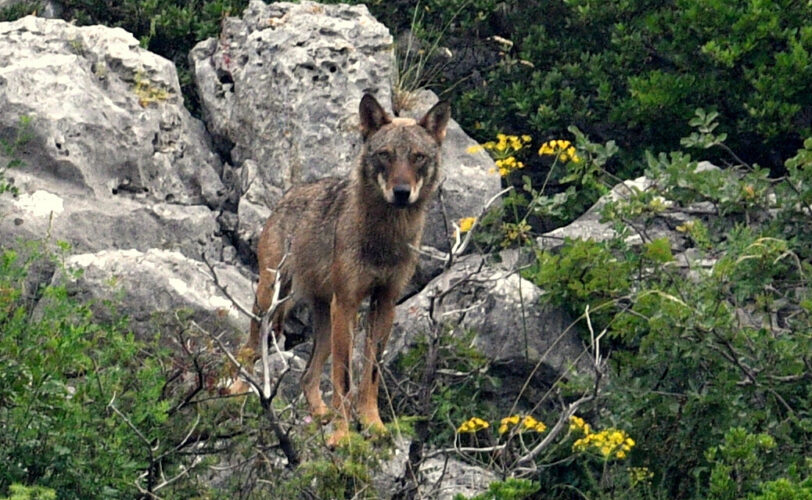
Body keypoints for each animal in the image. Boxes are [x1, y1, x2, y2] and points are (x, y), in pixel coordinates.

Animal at [244, 93, 450, 445]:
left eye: (418, 157)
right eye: (385, 155)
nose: (401, 193)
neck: (384, 238)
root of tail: (287, 195)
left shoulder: (384, 304)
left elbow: (370, 374)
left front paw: (372, 424)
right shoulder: (349, 303)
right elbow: (343, 378)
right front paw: (342, 435)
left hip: (324, 322)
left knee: (307, 377)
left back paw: (320, 414)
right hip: (273, 303)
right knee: (246, 352)